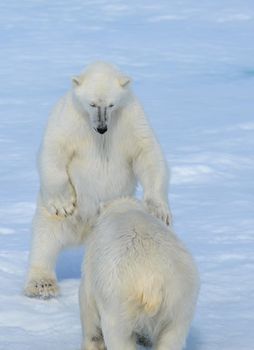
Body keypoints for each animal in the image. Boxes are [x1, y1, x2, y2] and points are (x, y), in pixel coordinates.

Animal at [24, 62, 171, 298]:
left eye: (111, 104)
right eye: (91, 103)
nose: (102, 128)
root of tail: (85, 231)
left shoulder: (131, 117)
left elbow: (147, 153)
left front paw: (159, 210)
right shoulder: (69, 119)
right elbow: (53, 150)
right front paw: (64, 203)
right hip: (57, 216)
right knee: (45, 237)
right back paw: (41, 285)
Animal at [79, 197, 198, 350]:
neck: (124, 209)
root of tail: (153, 282)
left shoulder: (90, 270)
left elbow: (87, 306)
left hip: (118, 302)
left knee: (118, 336)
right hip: (179, 300)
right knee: (171, 338)